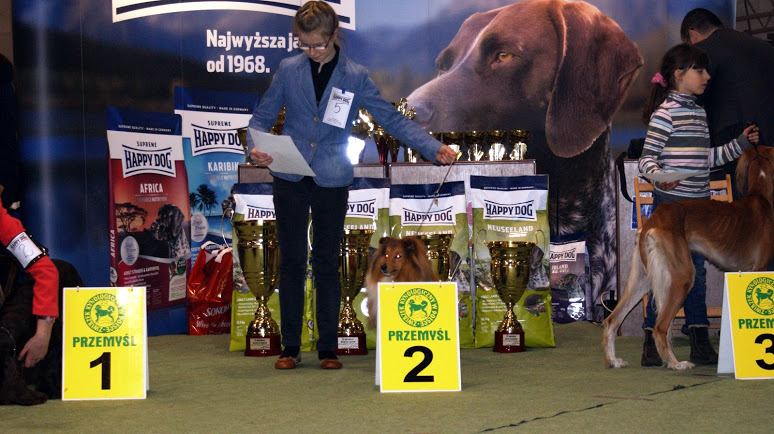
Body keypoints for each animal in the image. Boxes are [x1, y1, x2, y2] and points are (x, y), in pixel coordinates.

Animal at [602, 147, 774, 370]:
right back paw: (676, 364)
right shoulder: (760, 268)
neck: (761, 198)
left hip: (642, 279)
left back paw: (614, 360)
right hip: (681, 276)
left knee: (612, 320)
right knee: (659, 326)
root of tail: (653, 221)